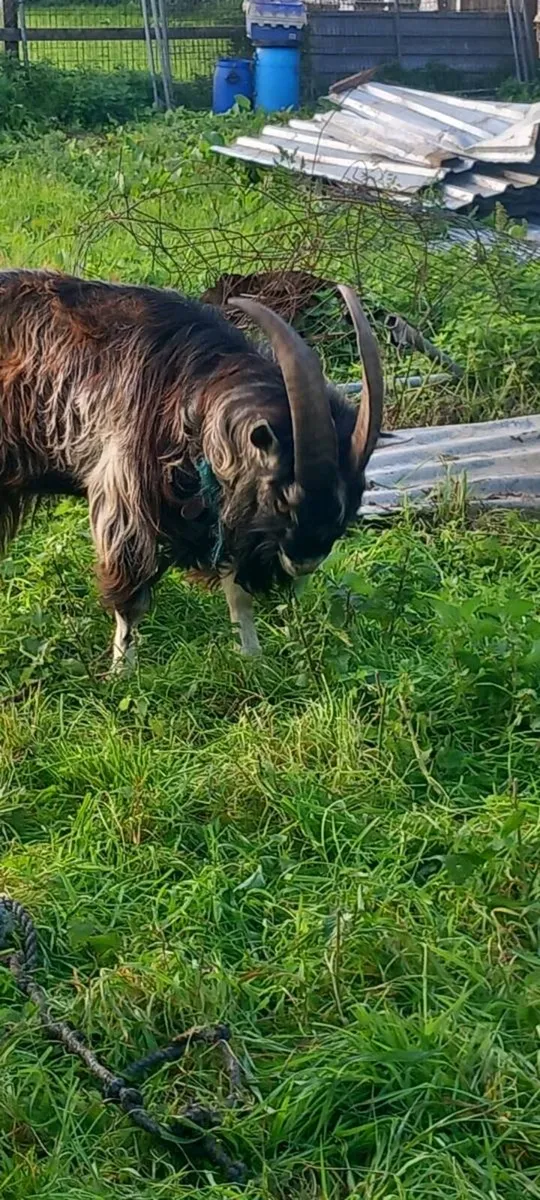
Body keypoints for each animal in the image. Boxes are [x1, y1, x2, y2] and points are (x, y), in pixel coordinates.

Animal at [0, 269, 383, 668]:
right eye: (284, 499)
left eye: (350, 508)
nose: (305, 562)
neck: (182, 381)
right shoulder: (123, 497)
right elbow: (130, 594)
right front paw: (124, 669)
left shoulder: (223, 512)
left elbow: (237, 594)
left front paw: (252, 657)